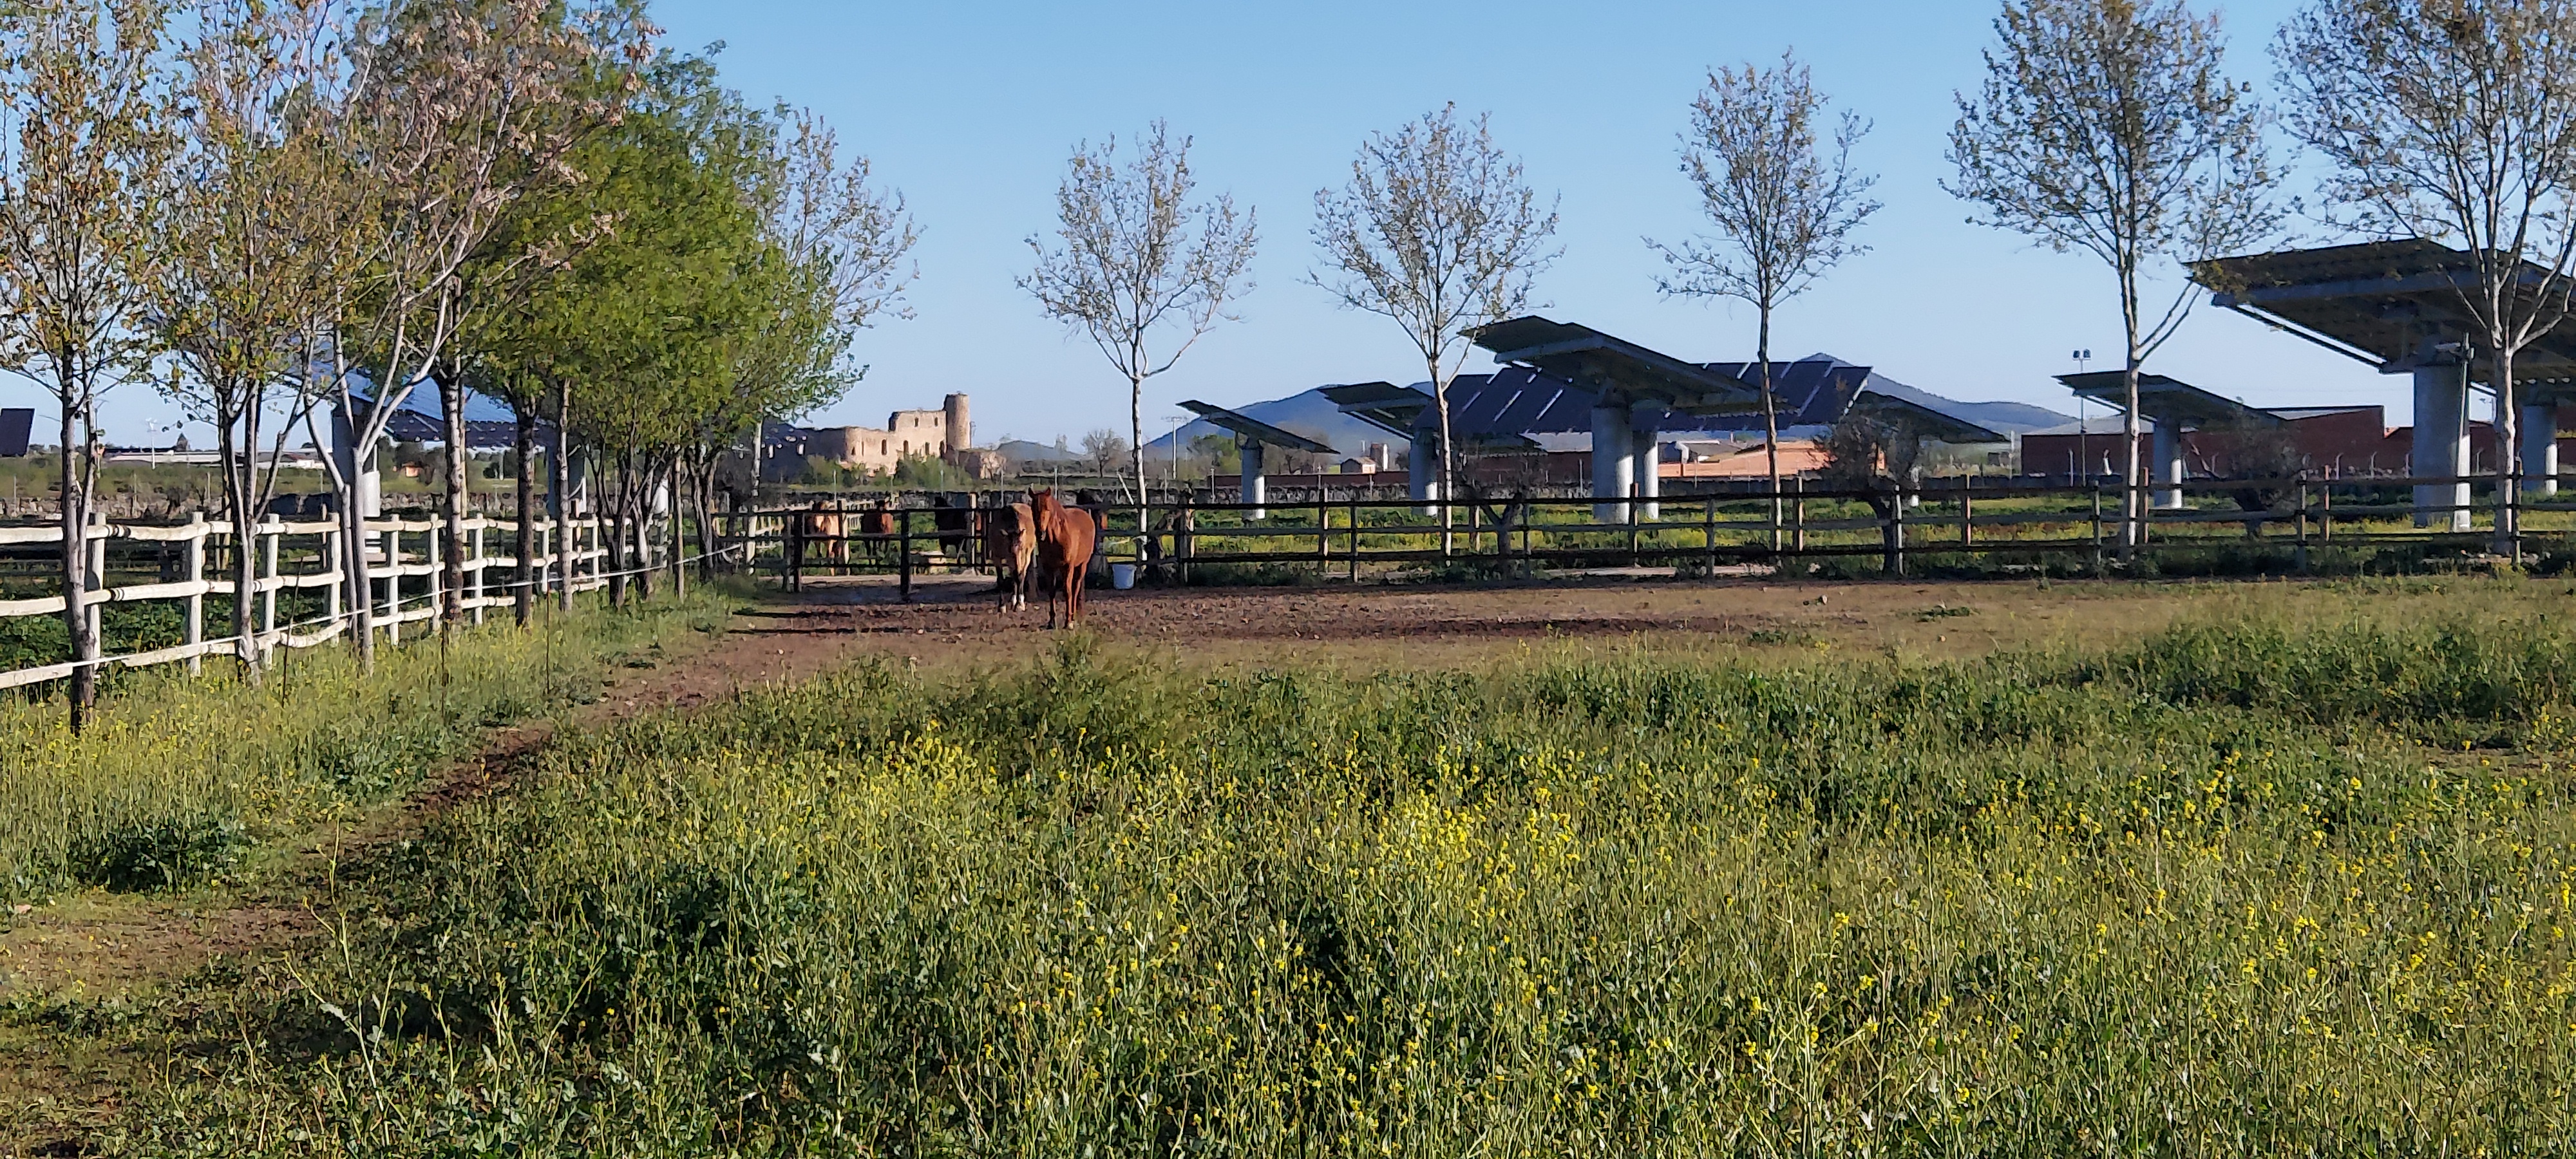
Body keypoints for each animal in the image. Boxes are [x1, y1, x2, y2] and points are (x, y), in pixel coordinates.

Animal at [1030, 489, 1095, 628]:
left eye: (1047, 509)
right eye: (1033, 509)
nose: (1040, 533)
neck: (1057, 537)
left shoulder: (1067, 566)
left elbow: (1067, 591)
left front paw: (1068, 622)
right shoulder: (1049, 568)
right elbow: (1051, 592)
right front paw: (1051, 622)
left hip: (1082, 565)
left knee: (1075, 588)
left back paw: (1074, 617)